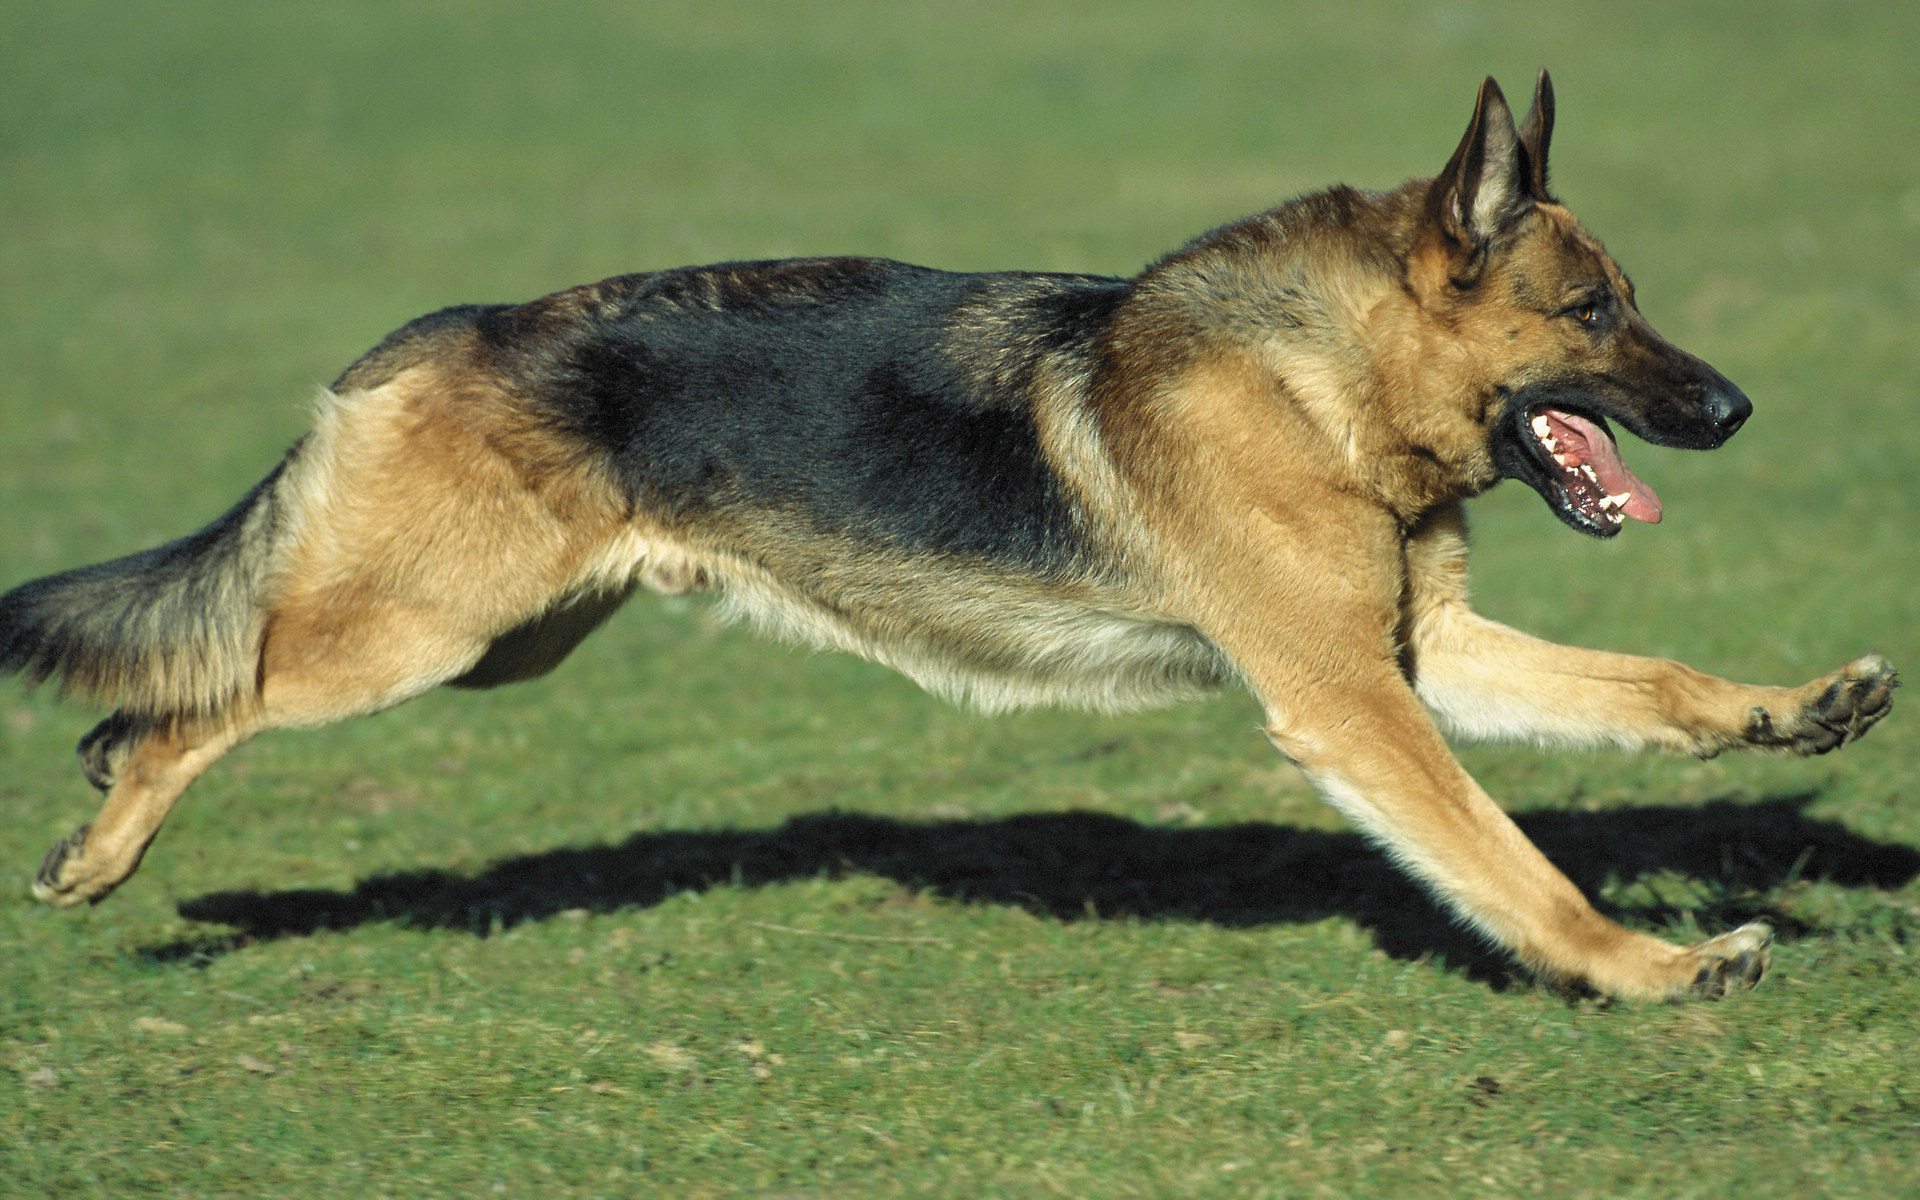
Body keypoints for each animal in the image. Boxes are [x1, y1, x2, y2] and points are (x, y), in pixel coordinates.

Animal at [0, 70, 1889, 998]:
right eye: (1598, 313)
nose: (1737, 411)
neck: (1320, 385)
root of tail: (431, 332)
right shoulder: (1354, 703)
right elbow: (1517, 866)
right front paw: (1648, 970)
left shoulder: (1428, 658)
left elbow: (1653, 681)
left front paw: (1795, 713)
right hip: (416, 640)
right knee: (201, 694)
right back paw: (99, 850)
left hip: (498, 646)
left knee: (186, 683)